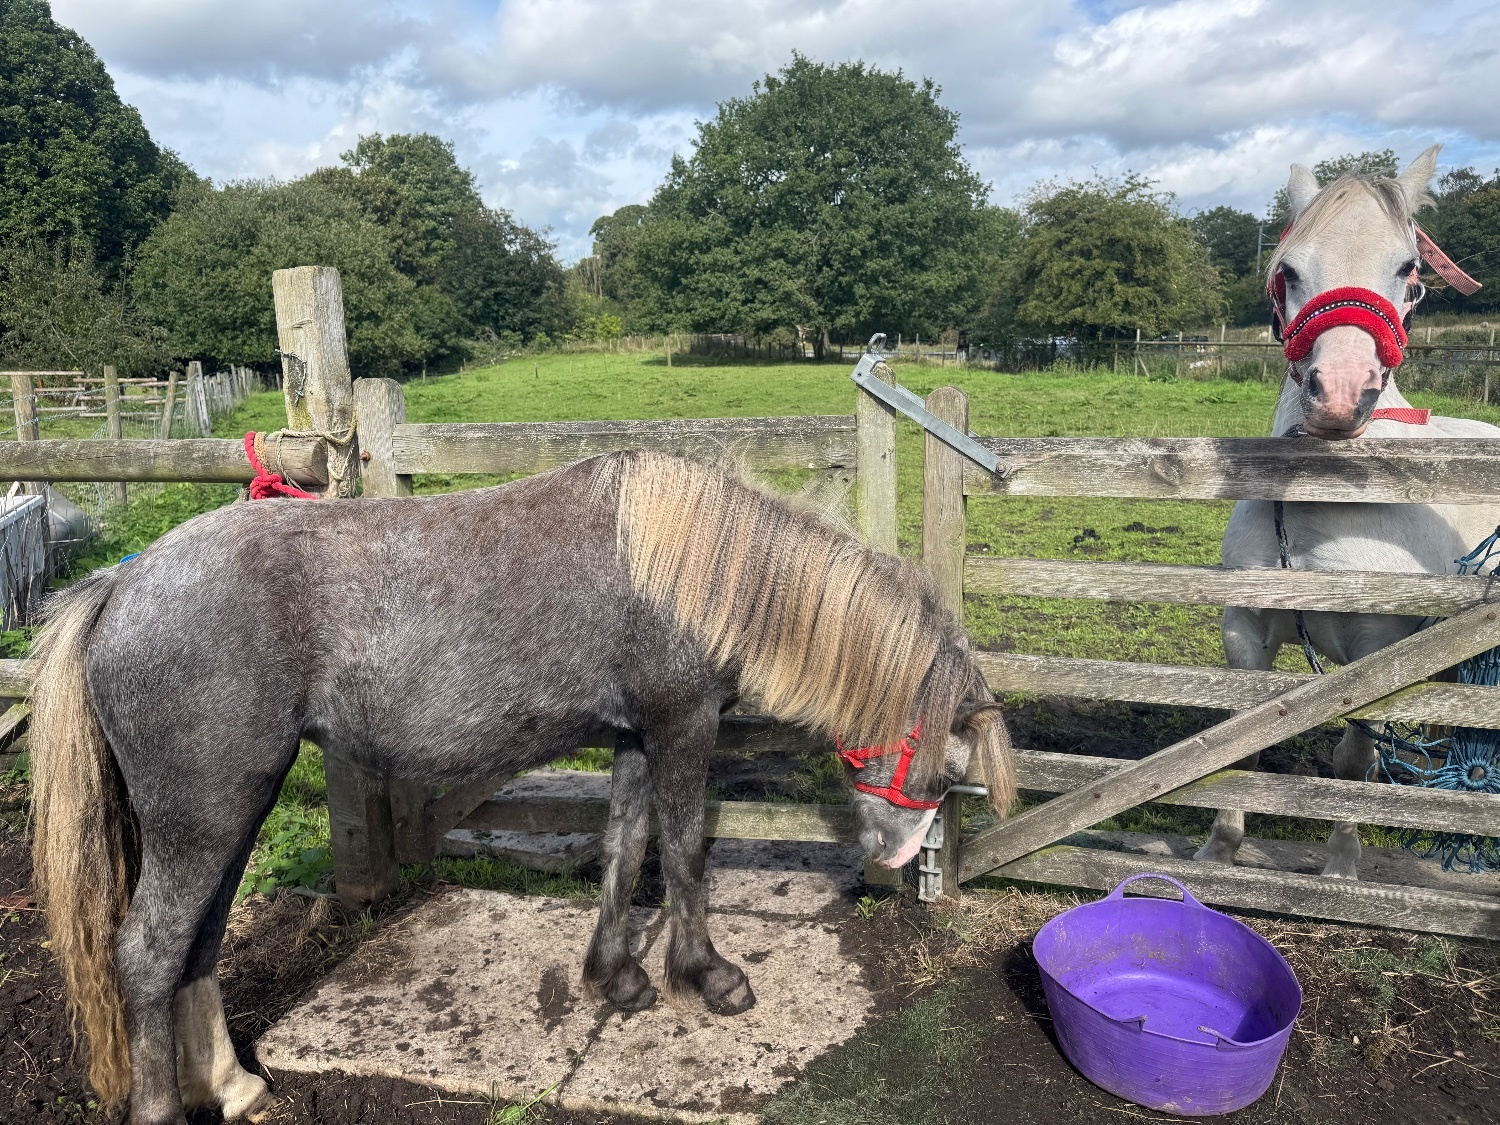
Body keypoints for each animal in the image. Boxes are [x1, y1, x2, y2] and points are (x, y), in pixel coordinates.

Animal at [29, 449, 1014, 1124]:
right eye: (944, 759)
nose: (898, 856)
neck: (690, 568)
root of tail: (118, 587)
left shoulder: (634, 735)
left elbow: (625, 847)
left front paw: (617, 978)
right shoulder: (682, 726)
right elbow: (684, 851)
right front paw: (708, 977)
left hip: (228, 809)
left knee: (195, 946)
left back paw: (234, 1086)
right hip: (205, 813)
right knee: (147, 952)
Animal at [1195, 144, 1500, 879]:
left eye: (1409, 270)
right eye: (1289, 269)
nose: (1338, 393)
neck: (1322, 508)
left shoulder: (1380, 654)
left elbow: (1354, 758)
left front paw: (1339, 864)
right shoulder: (1245, 629)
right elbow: (1239, 742)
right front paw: (1220, 849)